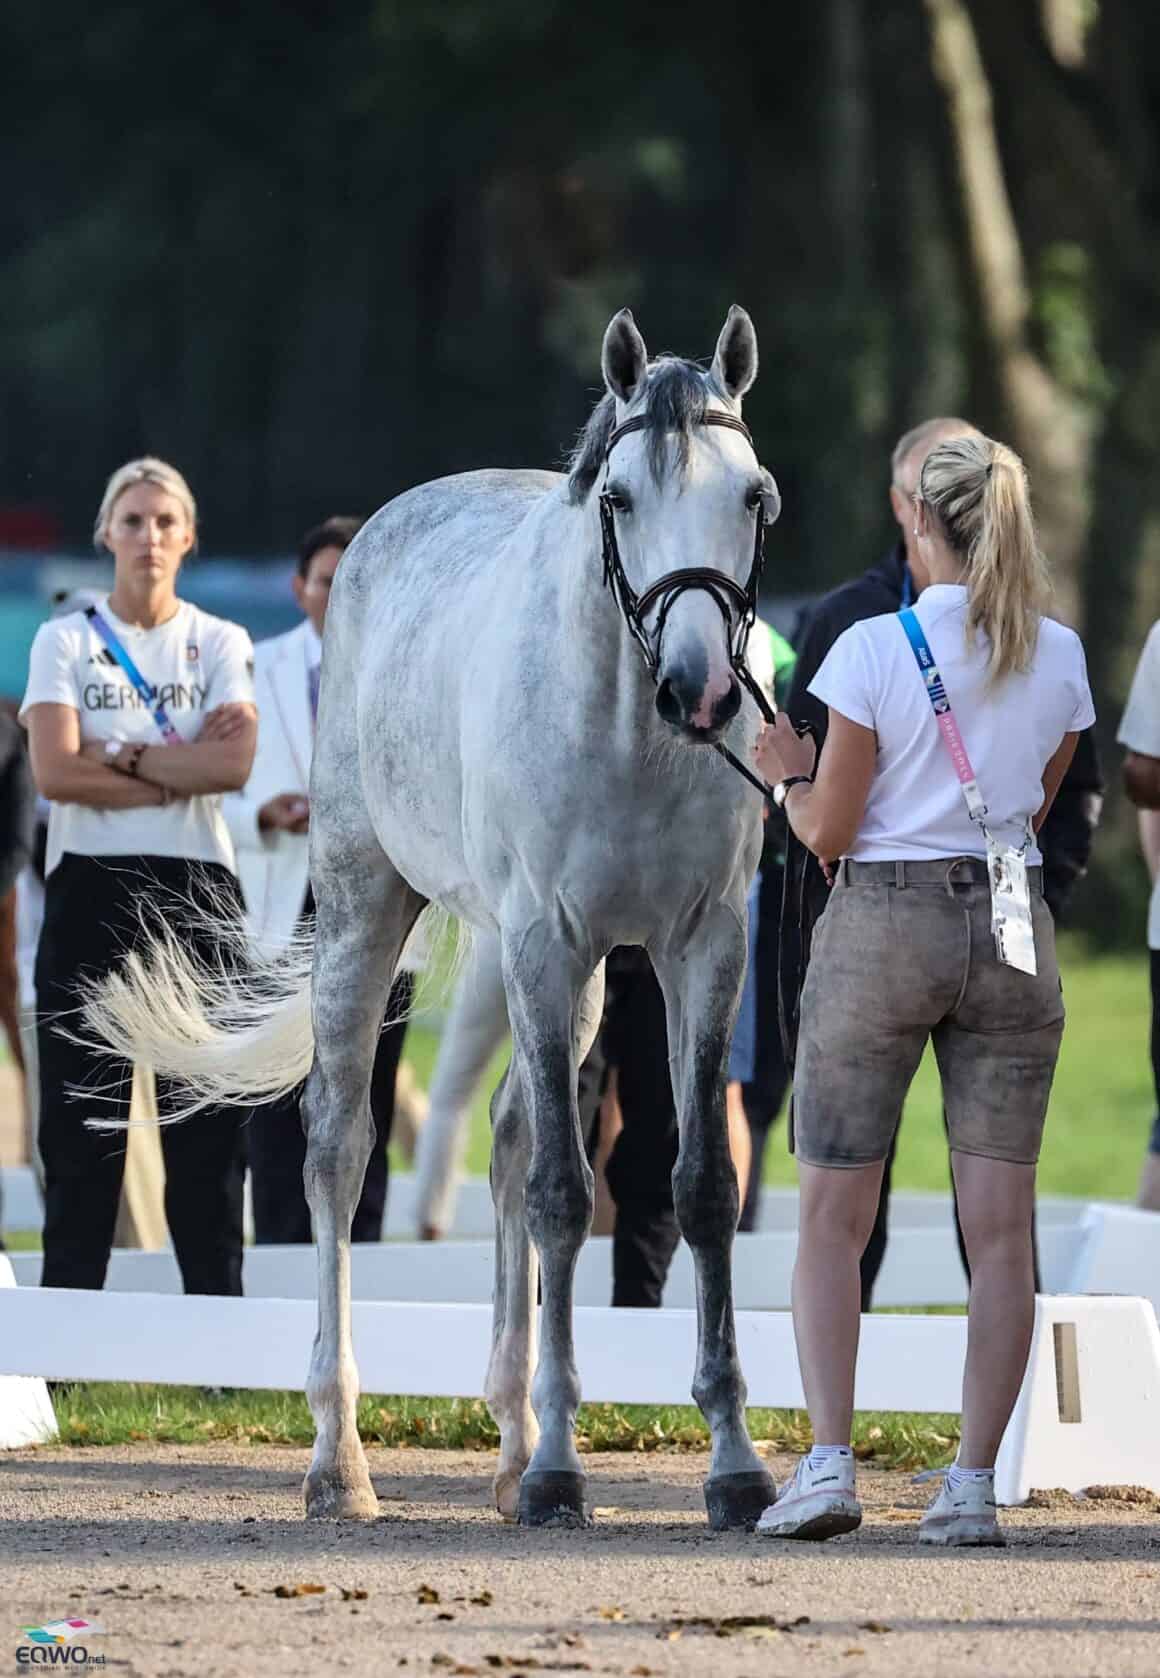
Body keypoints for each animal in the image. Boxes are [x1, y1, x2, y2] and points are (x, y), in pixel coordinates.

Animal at [88, 305, 778, 1537]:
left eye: (753, 497)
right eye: (618, 499)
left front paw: (734, 1468)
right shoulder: (549, 940)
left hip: (554, 965)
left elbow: (700, 1186)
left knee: (504, 1135)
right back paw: (342, 1462)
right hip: (371, 909)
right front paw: (561, 1475)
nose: (698, 690)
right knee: (338, 1147)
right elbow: (564, 1193)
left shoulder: (701, 947)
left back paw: (506, 1444)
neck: (627, 730)